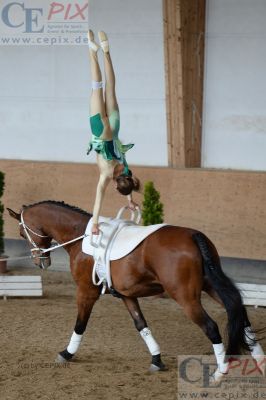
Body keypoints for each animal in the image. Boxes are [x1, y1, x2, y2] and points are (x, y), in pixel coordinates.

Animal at [7, 200, 264, 382]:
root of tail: (193, 235)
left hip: (186, 298)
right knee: (241, 315)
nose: (40, 262)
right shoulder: (127, 295)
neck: (80, 236)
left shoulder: (86, 291)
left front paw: (66, 353)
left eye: (21, 233)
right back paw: (260, 360)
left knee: (211, 327)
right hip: (211, 287)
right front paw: (157, 360)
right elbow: (141, 325)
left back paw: (220, 374)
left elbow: (80, 324)